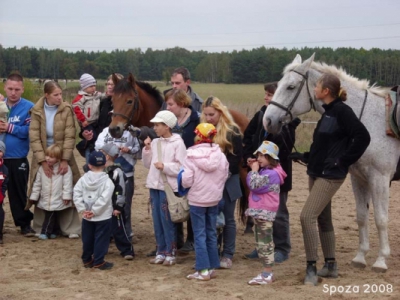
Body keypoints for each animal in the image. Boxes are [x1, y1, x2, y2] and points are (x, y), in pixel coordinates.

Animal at [262, 53, 400, 272]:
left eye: (290, 87)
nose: (267, 121)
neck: (369, 121)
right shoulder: (359, 179)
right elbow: (362, 216)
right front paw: (360, 257)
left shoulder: (380, 179)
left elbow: (381, 219)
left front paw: (381, 260)